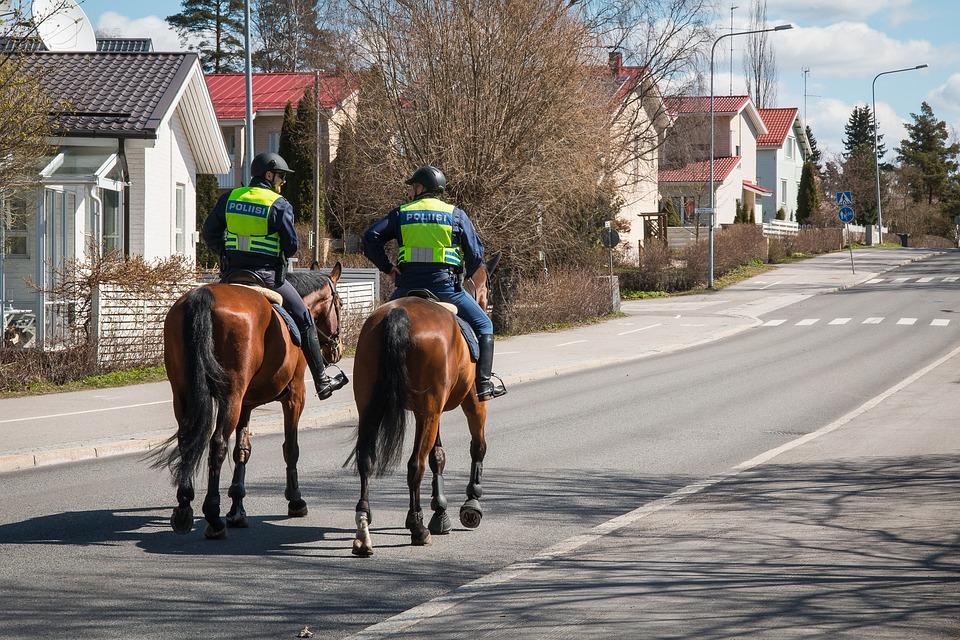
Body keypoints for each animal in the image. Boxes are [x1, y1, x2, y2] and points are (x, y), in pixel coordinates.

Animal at [152, 262, 344, 536]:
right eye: (340, 303)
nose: (337, 349)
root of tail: (203, 296)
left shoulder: (247, 404)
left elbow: (242, 450)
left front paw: (237, 508)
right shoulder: (295, 396)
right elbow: (291, 448)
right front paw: (295, 500)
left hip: (184, 393)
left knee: (187, 441)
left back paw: (184, 509)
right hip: (231, 395)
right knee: (218, 443)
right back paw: (213, 516)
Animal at [350, 254, 502, 556]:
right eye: (489, 287)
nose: (488, 306)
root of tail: (398, 315)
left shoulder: (433, 412)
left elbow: (438, 456)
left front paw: (440, 511)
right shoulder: (472, 403)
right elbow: (477, 447)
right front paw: (471, 503)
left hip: (373, 408)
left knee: (366, 460)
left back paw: (364, 528)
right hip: (431, 409)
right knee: (415, 465)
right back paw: (417, 527)